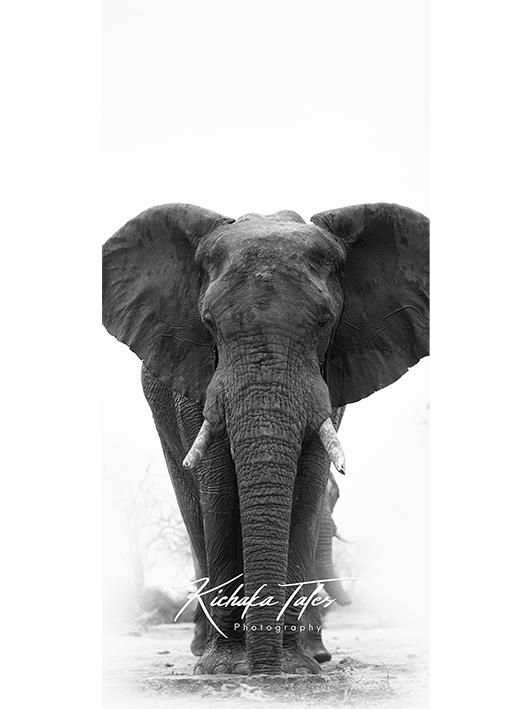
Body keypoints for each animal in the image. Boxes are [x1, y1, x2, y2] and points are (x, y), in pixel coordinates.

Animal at [102, 201, 430, 676]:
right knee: (192, 508)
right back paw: (201, 650)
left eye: (326, 322)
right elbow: (219, 488)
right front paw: (222, 668)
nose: (263, 669)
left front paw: (296, 667)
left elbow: (306, 486)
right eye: (207, 323)